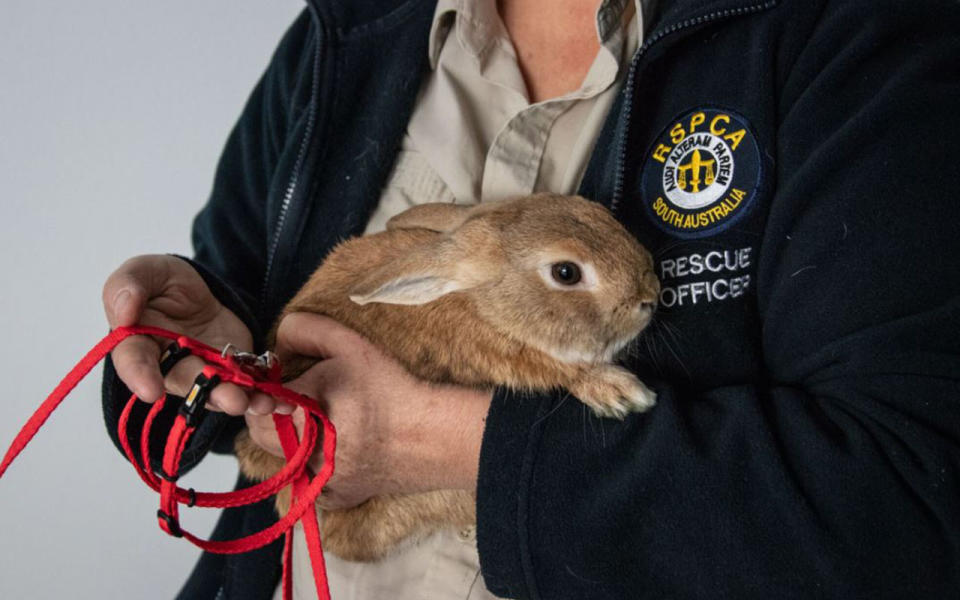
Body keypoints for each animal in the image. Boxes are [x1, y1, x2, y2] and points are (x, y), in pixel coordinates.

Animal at [236, 193, 664, 564]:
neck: (481, 306)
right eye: (566, 272)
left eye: (597, 211)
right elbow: (564, 369)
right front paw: (622, 393)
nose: (651, 294)